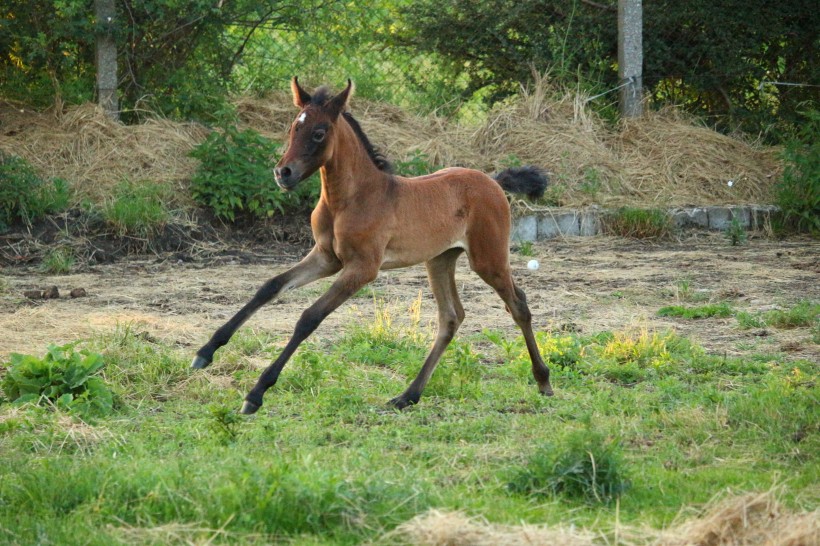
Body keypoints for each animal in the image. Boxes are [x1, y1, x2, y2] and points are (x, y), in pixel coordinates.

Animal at [189, 77, 556, 412]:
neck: (350, 199)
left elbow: (309, 316)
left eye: (319, 133)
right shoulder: (326, 258)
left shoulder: (363, 268)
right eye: (294, 127)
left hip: (487, 258)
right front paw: (205, 352)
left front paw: (256, 393)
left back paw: (543, 381)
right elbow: (269, 287)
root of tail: (492, 181)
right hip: (439, 259)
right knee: (451, 317)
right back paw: (407, 396)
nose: (283, 173)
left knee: (518, 305)